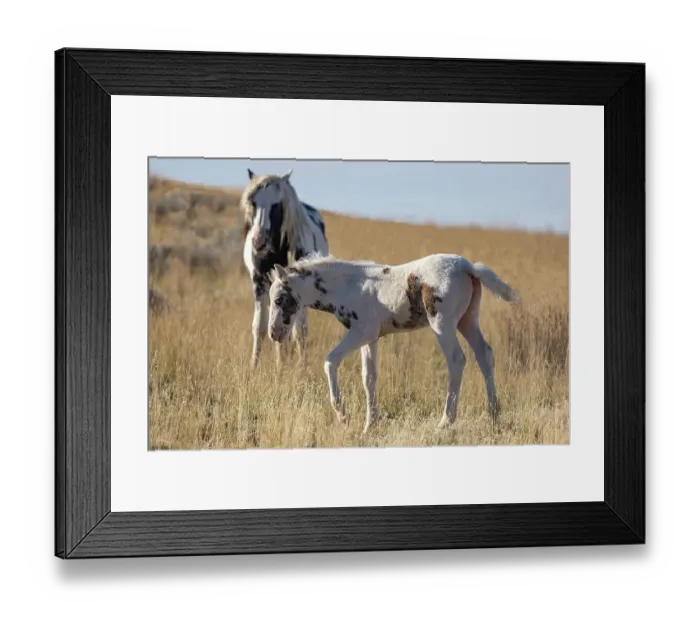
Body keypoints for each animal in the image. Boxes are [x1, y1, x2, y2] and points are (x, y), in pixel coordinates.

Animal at [240, 168, 329, 368]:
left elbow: (299, 331)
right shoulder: (259, 283)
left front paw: (301, 368)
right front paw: (254, 366)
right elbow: (260, 326)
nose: (258, 242)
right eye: (253, 202)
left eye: (276, 205)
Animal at [267, 252, 521, 434]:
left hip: (443, 324)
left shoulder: (360, 332)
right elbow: (369, 378)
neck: (349, 285)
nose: (273, 333)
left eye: (279, 299)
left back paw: (445, 422)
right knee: (484, 354)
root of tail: (467, 266)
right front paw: (369, 426)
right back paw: (494, 415)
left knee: (457, 361)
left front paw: (343, 415)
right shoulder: (370, 339)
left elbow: (330, 361)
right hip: (467, 320)